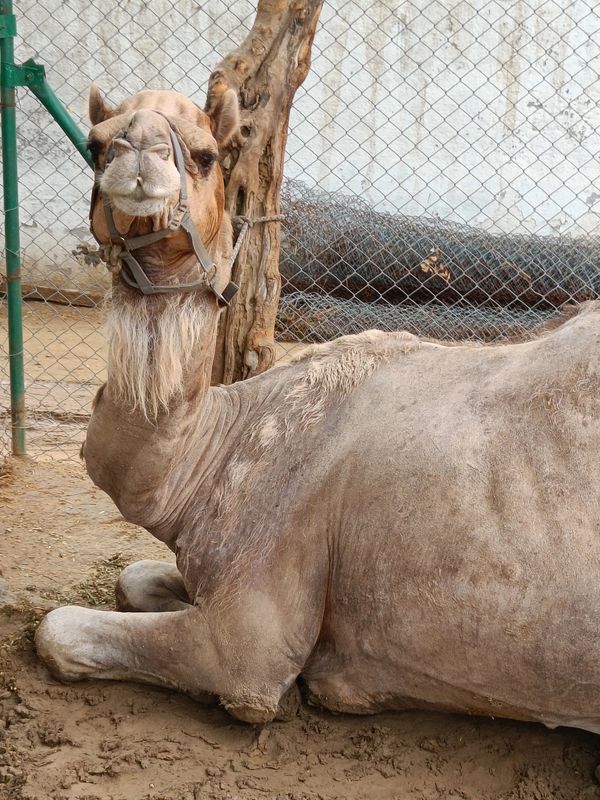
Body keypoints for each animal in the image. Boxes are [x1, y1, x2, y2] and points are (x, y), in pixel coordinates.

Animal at [34, 86, 600, 732]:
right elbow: (132, 576)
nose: (138, 154)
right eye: (97, 143)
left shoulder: (246, 645)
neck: (216, 454)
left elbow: (59, 628)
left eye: (206, 155)